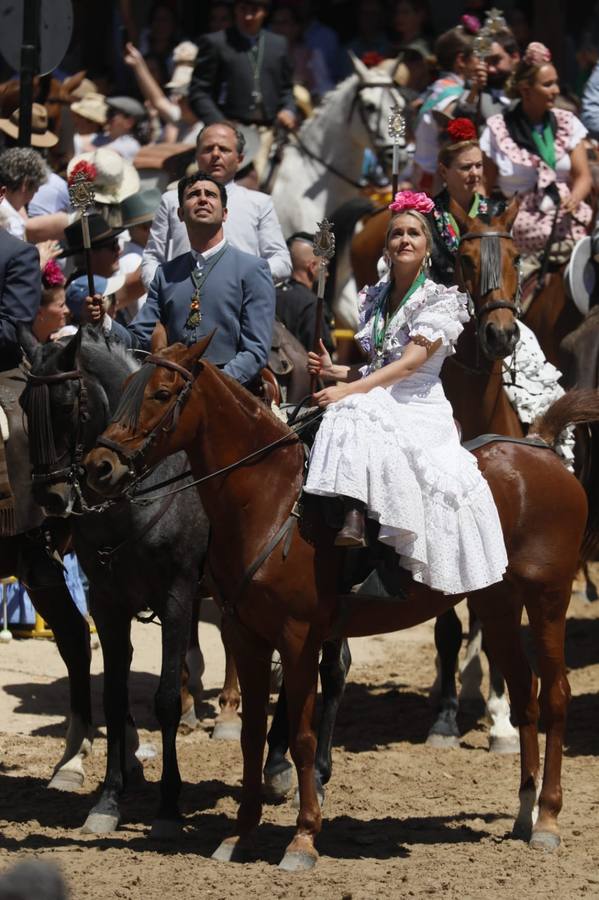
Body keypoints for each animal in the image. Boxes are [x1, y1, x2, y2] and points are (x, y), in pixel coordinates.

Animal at [83, 324, 599, 872]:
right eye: (126, 387)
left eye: (162, 394)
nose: (99, 466)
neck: (271, 498)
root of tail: (541, 448)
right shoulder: (245, 633)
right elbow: (250, 735)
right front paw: (240, 835)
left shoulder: (298, 637)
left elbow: (304, 737)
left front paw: (303, 838)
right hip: (498, 604)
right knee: (524, 697)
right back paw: (524, 813)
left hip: (547, 600)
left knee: (555, 697)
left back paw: (547, 819)